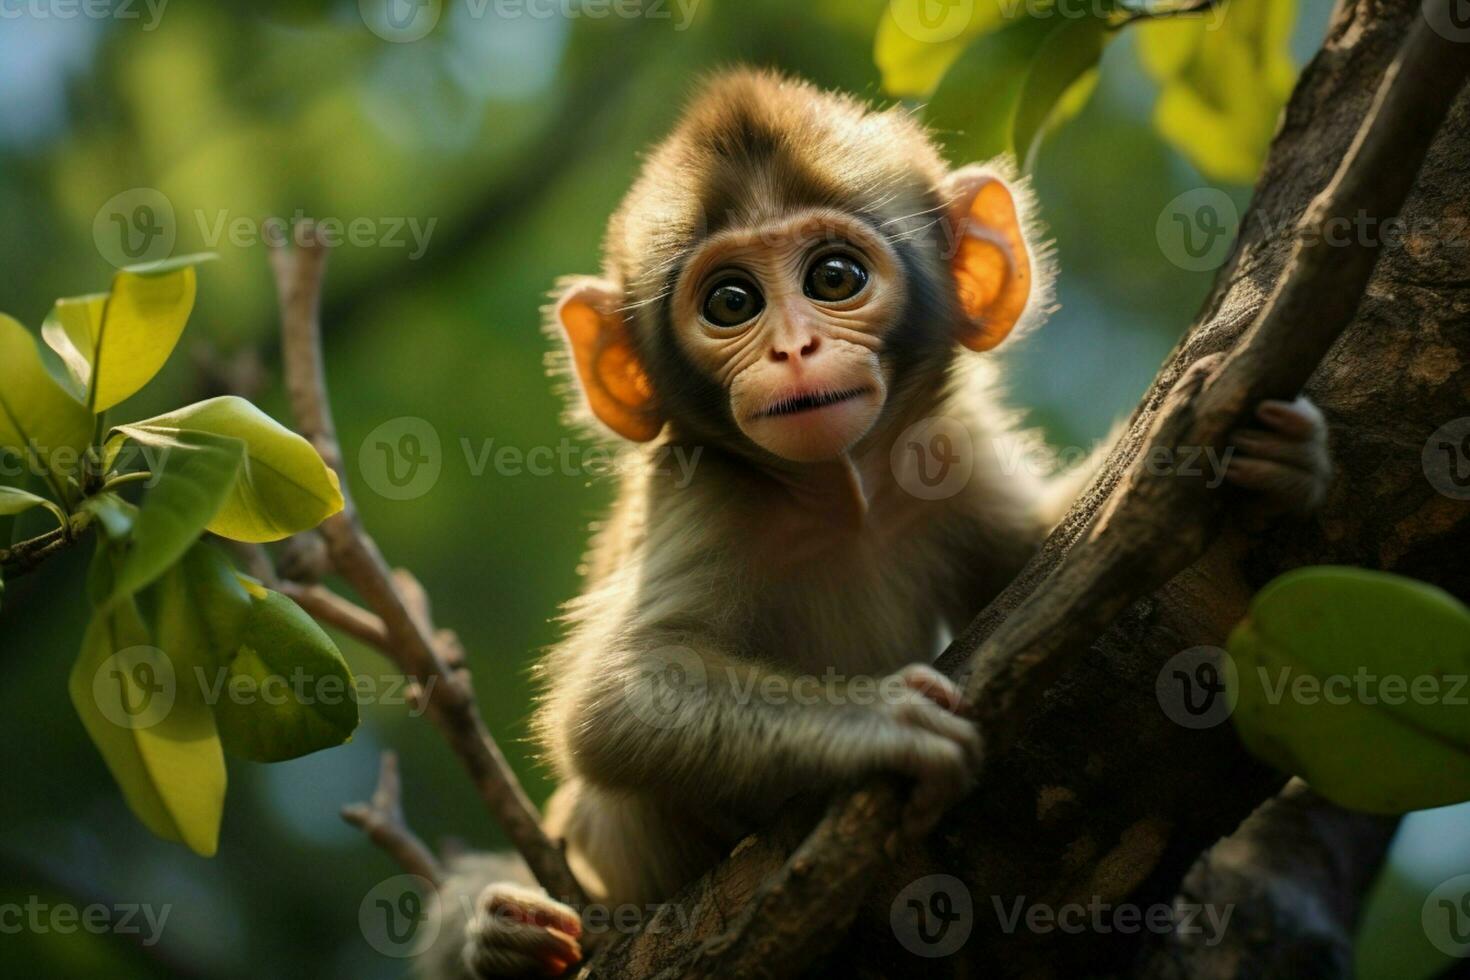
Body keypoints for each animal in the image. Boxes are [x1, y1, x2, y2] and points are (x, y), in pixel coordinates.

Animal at [417, 70, 1334, 980]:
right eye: (731, 301)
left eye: (833, 277)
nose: (791, 350)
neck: (842, 499)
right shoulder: (700, 495)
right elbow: (609, 699)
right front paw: (872, 726)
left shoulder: (948, 452)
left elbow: (1061, 559)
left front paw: (1280, 463)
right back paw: (497, 936)